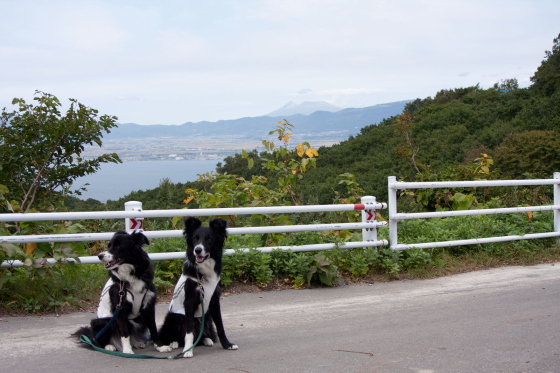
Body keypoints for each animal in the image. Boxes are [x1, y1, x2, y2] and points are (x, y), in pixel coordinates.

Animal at [159, 217, 237, 356]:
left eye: (209, 239)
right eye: (195, 238)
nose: (197, 250)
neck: (202, 274)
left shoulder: (214, 300)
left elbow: (220, 326)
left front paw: (227, 345)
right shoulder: (189, 301)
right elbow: (188, 331)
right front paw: (188, 351)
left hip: (206, 317)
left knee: (203, 334)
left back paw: (207, 340)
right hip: (173, 318)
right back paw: (174, 343)